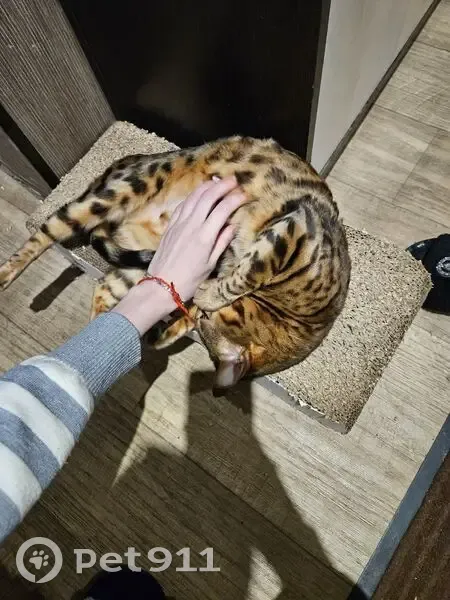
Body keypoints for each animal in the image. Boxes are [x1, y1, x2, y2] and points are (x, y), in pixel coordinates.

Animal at [0, 136, 351, 389]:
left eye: (206, 324)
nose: (201, 304)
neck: (299, 318)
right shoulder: (295, 233)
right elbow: (248, 274)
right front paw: (210, 295)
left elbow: (193, 307)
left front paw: (170, 329)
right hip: (120, 193)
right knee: (46, 231)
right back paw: (8, 273)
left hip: (144, 262)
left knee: (104, 289)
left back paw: (104, 352)